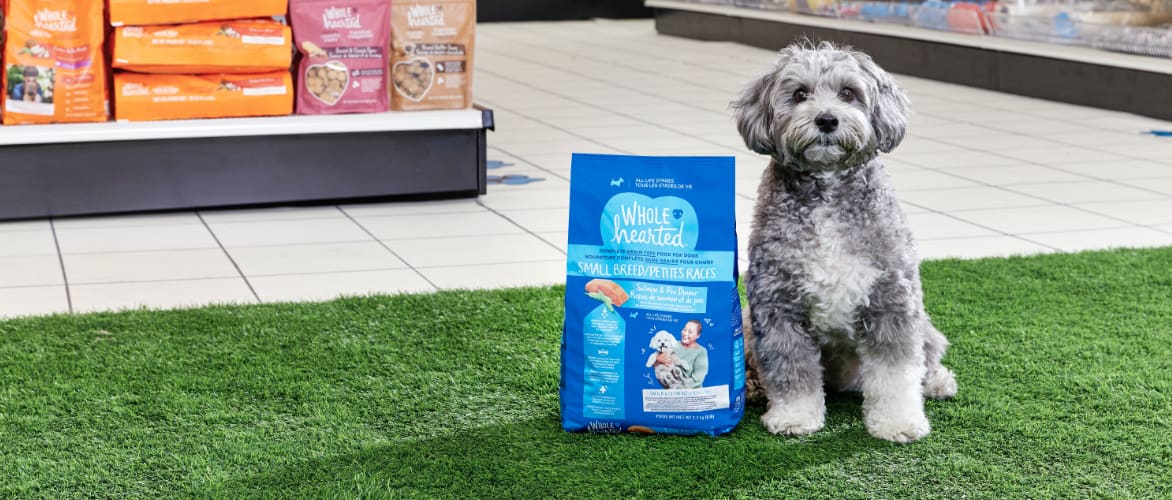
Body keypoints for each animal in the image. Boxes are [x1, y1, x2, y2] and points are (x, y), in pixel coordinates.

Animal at [557, 154, 740, 435]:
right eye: (659, 340)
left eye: (667, 340)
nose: (663, 344)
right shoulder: (659, 358)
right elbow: (653, 358)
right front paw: (650, 360)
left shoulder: (675, 358)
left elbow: (681, 362)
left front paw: (681, 365)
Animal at [736, 42, 956, 442]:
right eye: (800, 94)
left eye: (848, 93)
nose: (826, 120)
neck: (827, 189)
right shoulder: (778, 307)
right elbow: (790, 371)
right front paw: (794, 416)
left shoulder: (890, 301)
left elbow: (896, 374)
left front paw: (898, 421)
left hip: (923, 324)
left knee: (927, 356)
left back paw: (936, 382)